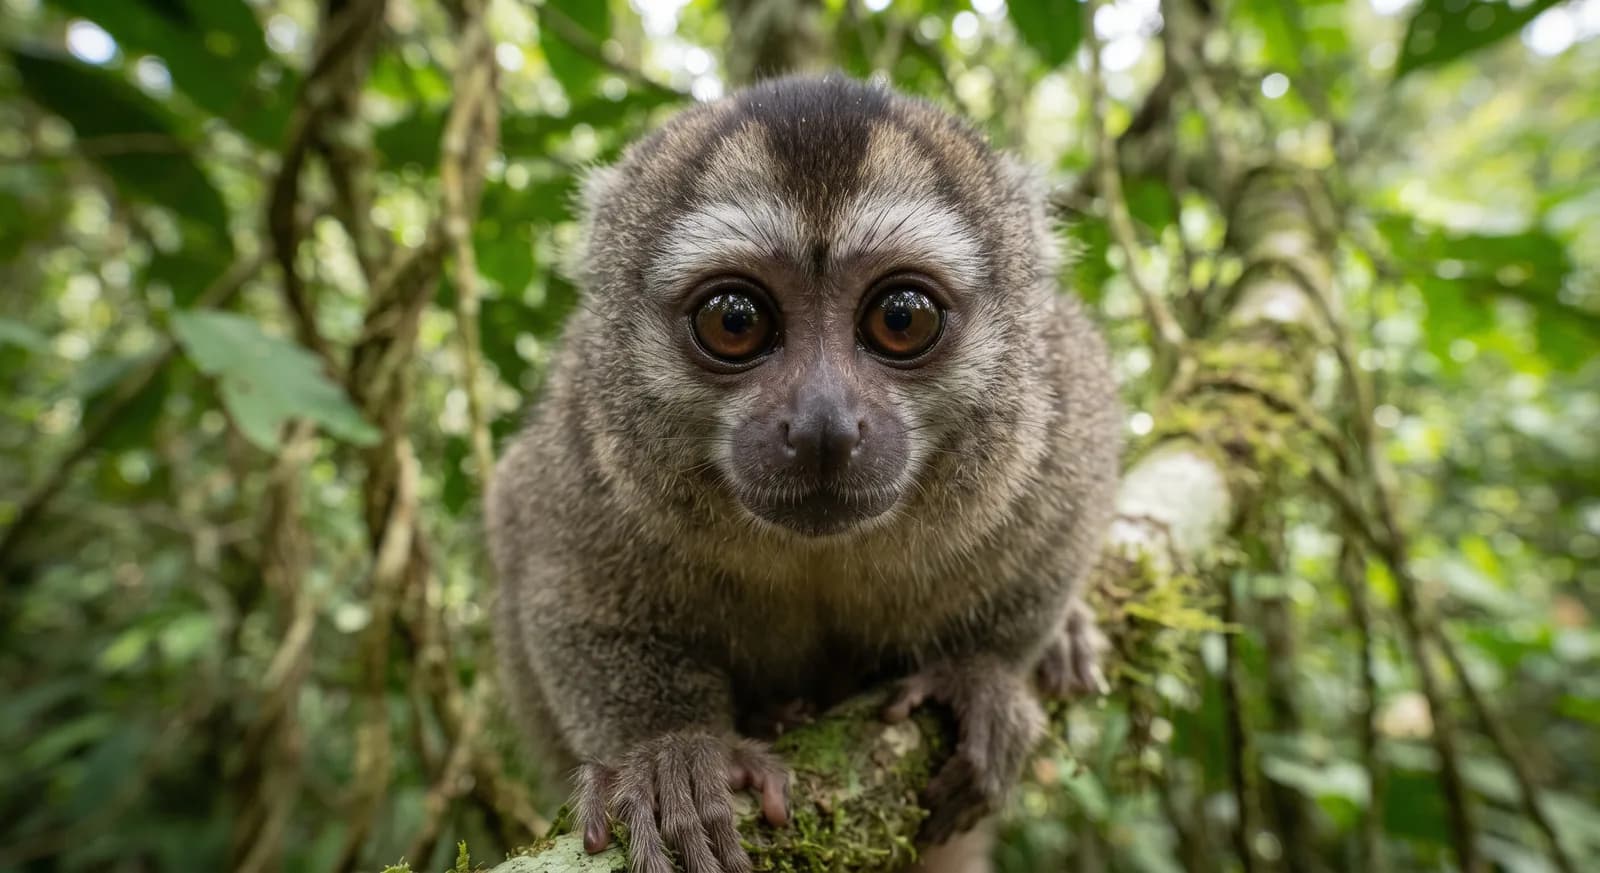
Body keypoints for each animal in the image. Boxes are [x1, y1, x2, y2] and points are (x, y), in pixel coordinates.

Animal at [487, 74, 1121, 873]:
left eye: (902, 318)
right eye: (734, 321)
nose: (823, 424)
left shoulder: (1056, 408)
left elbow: (1071, 510)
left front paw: (979, 673)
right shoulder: (588, 443)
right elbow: (559, 576)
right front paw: (668, 754)